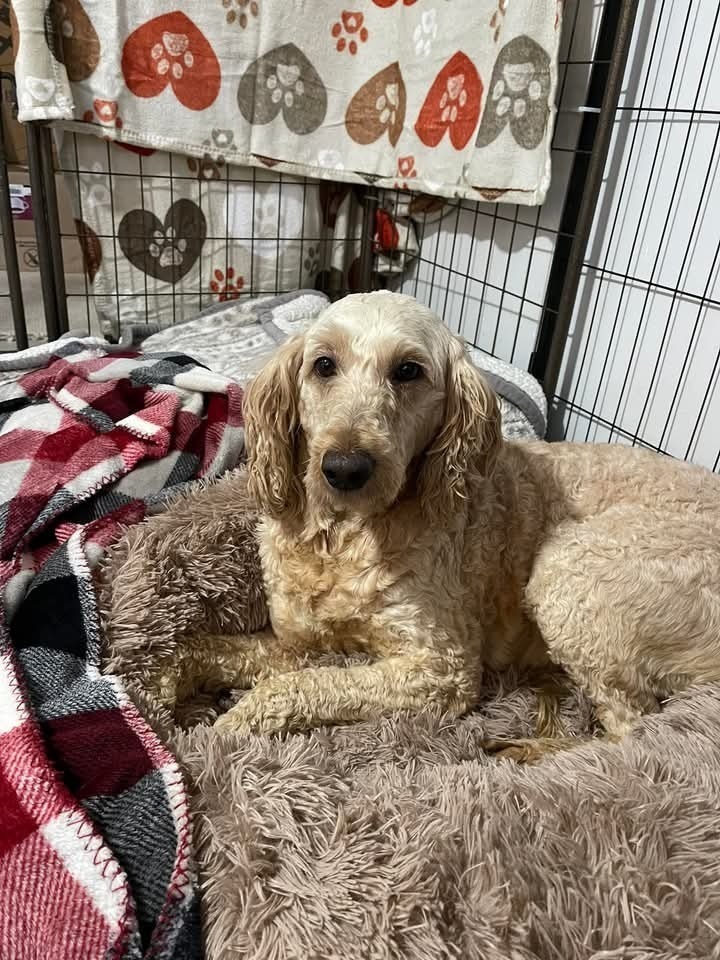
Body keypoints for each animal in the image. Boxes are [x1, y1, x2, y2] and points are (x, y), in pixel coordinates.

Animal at [188, 290, 720, 744]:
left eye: (408, 371)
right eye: (323, 365)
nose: (344, 468)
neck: (343, 536)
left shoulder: (442, 668)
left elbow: (303, 685)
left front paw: (228, 728)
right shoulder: (303, 642)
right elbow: (228, 648)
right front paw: (176, 672)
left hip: (571, 575)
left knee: (634, 729)